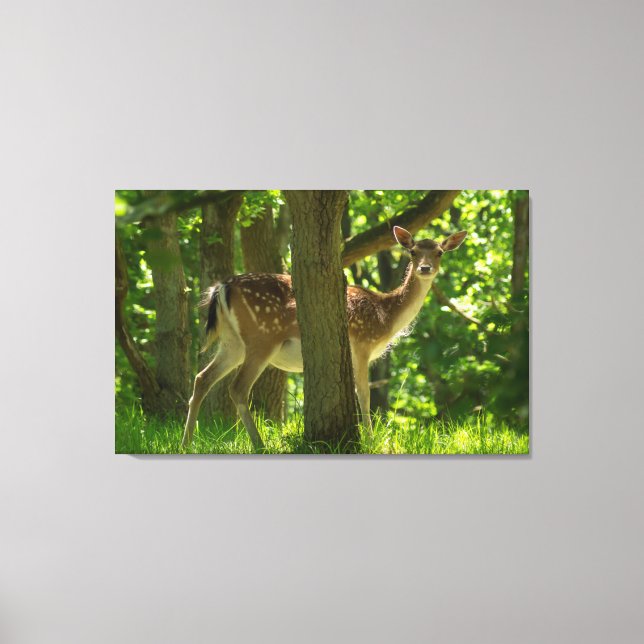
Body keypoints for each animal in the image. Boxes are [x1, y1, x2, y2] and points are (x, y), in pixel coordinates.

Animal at [181, 225, 467, 449]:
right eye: (413, 251)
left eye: (439, 252)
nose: (425, 268)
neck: (385, 316)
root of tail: (221, 287)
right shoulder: (361, 345)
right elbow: (364, 393)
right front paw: (370, 440)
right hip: (261, 338)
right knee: (237, 388)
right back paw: (259, 444)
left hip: (233, 343)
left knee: (201, 378)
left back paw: (187, 443)